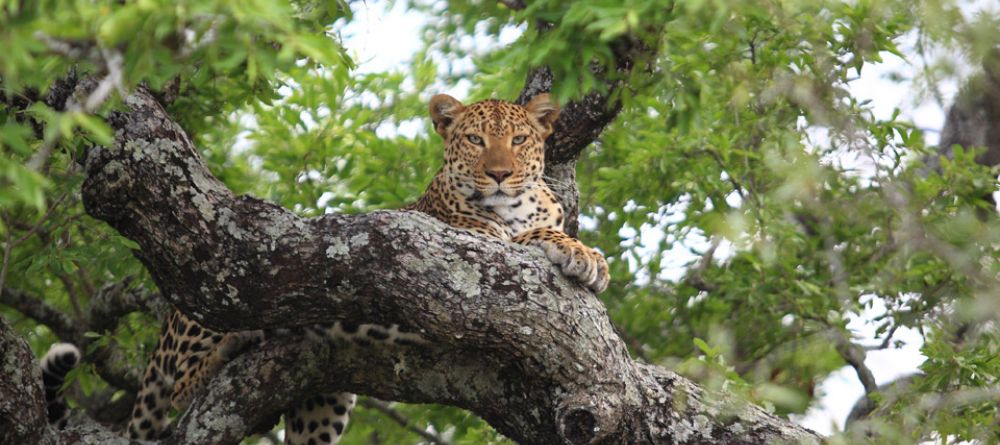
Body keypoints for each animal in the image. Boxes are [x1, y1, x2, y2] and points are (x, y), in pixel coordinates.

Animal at [114, 91, 604, 440]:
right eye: (474, 140)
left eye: (519, 140)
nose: (499, 174)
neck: (516, 207)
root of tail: (169, 318)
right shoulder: (469, 245)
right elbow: (524, 240)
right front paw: (583, 254)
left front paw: (584, 254)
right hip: (214, 304)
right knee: (179, 386)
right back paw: (230, 350)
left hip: (321, 402)